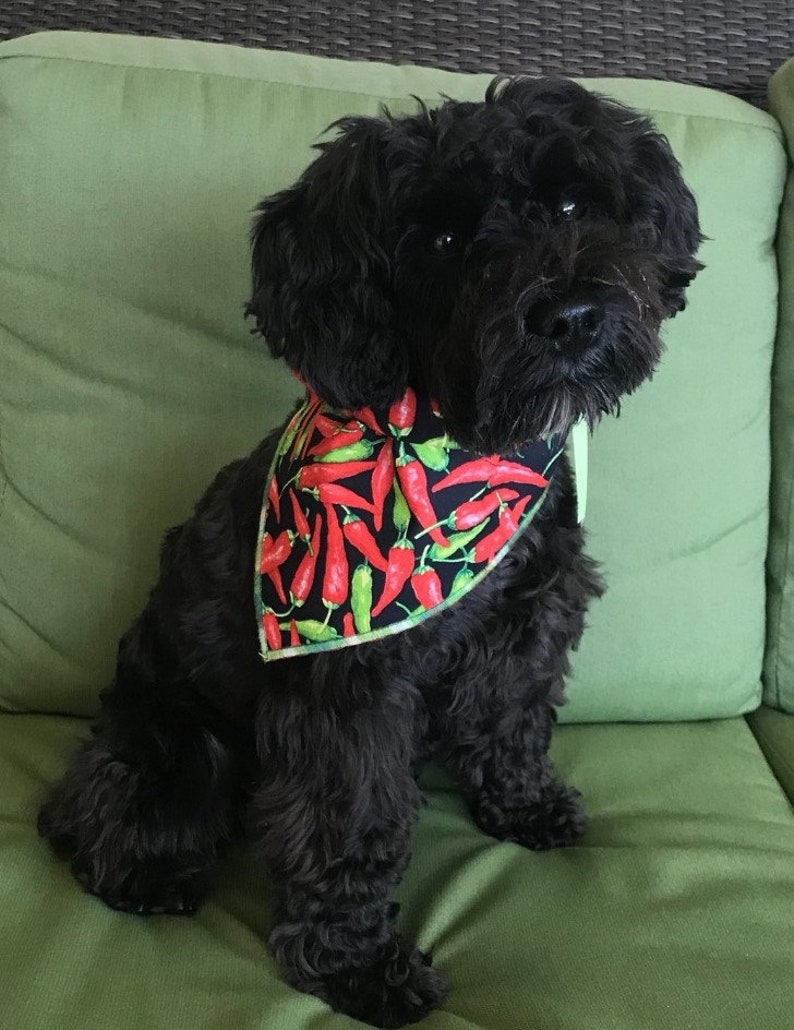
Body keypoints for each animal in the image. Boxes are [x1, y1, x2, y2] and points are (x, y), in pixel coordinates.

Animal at [40, 80, 700, 1030]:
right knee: (99, 812)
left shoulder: (530, 616)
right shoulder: (348, 694)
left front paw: (524, 804)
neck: (468, 448)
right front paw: (356, 968)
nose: (568, 316)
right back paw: (143, 873)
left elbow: (511, 715)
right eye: (443, 242)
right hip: (170, 750)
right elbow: (348, 822)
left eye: (575, 203)